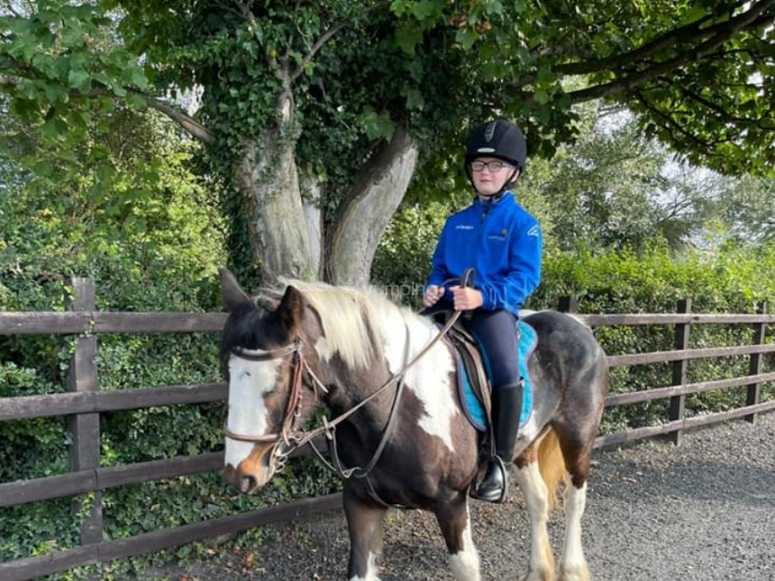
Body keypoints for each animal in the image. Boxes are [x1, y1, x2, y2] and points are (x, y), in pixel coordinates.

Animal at [218, 267, 609, 581]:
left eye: (279, 380)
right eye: (229, 372)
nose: (240, 474)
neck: (395, 405)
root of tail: (576, 323)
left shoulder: (451, 503)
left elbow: (466, 566)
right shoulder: (360, 503)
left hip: (578, 438)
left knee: (575, 499)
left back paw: (572, 568)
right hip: (523, 445)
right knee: (539, 499)